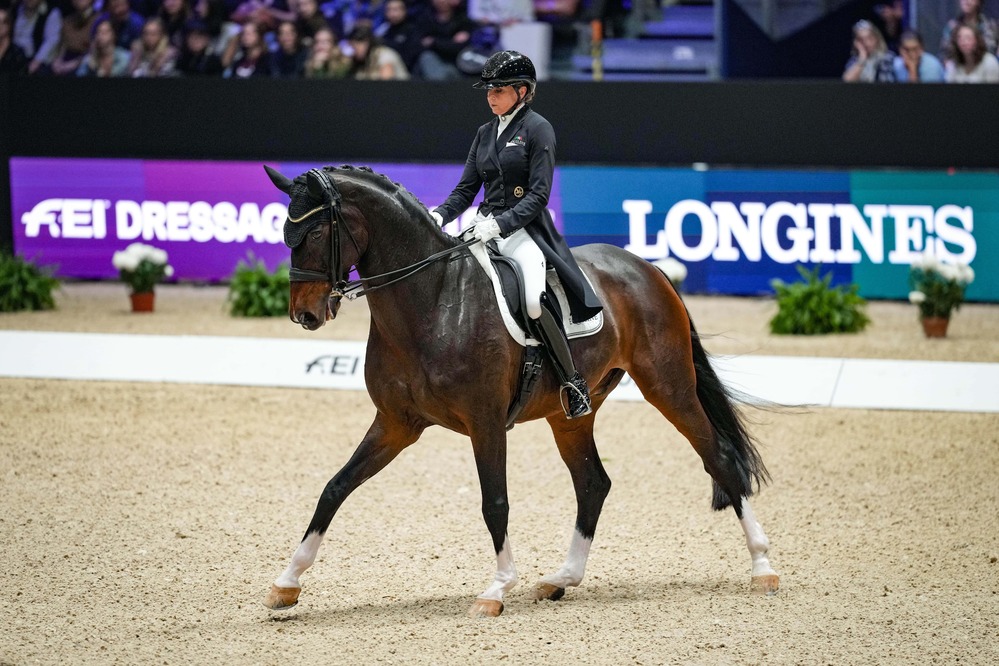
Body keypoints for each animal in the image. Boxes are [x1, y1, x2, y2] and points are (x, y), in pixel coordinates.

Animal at [262, 163, 776, 616]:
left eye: (314, 234)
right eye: (287, 235)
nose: (304, 315)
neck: (434, 300)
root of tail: (646, 268)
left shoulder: (486, 421)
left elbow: (495, 503)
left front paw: (497, 589)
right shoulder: (396, 424)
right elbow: (334, 488)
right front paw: (287, 583)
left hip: (668, 386)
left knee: (719, 457)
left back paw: (763, 567)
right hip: (571, 412)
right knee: (593, 483)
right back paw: (560, 579)